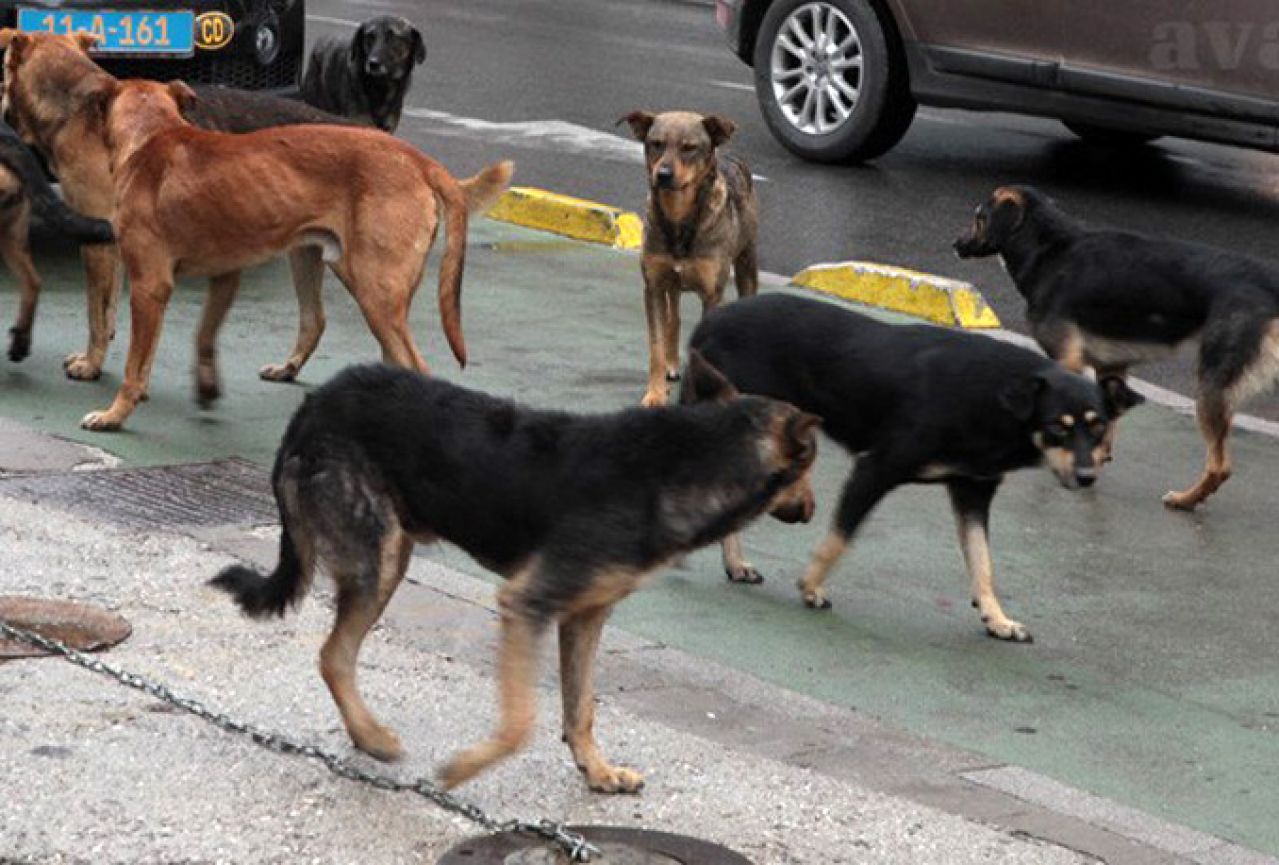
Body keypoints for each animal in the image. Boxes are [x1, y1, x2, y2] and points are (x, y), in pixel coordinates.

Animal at [61, 72, 509, 429]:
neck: (151, 134)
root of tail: (420, 160)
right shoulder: (219, 275)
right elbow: (189, 341)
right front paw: (200, 387)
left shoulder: (149, 286)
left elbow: (133, 365)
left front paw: (114, 415)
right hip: (321, 264)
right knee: (324, 325)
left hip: (372, 289)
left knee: (415, 365)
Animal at [207, 360, 808, 793]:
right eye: (810, 467)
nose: (811, 508)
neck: (687, 459)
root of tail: (312, 405)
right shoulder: (526, 603)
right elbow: (521, 722)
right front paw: (462, 771)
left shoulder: (584, 616)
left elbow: (580, 708)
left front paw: (598, 772)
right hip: (379, 559)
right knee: (334, 656)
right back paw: (373, 737)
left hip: (391, 554)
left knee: (338, 655)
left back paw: (364, 734)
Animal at [621, 111, 757, 409]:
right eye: (655, 143)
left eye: (689, 148)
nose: (662, 174)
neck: (679, 217)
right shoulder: (654, 286)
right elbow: (657, 345)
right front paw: (655, 393)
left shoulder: (712, 293)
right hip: (672, 284)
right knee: (674, 317)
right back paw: (672, 365)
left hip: (747, 262)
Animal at [685, 296, 1145, 642]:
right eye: (1057, 428)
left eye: (1098, 428)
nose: (1087, 478)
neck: (992, 398)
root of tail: (709, 322)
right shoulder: (876, 468)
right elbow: (839, 540)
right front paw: (811, 586)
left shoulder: (973, 490)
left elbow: (983, 562)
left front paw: (996, 618)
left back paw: (733, 562)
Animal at [956, 182, 1279, 506]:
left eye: (979, 218)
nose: (956, 245)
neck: (1050, 248)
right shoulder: (1111, 367)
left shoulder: (1066, 360)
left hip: (1211, 388)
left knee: (1219, 466)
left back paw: (1184, 500)